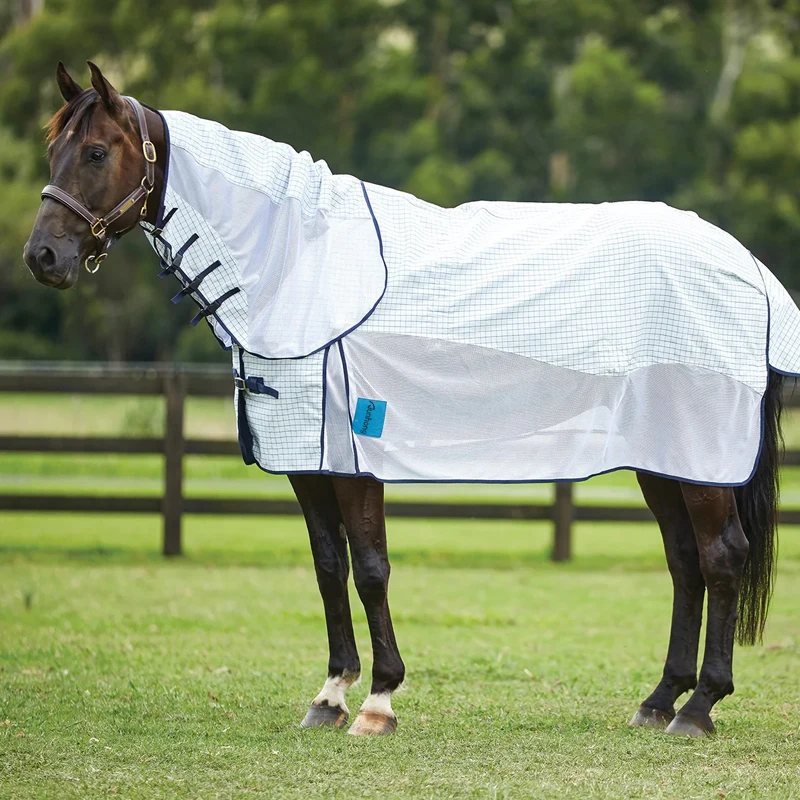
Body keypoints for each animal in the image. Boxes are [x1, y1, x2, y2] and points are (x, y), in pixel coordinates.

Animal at [23, 62, 792, 738]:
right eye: (52, 147)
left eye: (96, 151)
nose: (42, 259)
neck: (300, 263)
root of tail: (748, 267)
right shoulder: (308, 460)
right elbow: (328, 567)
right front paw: (330, 695)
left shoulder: (355, 460)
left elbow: (370, 570)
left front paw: (379, 701)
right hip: (665, 459)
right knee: (685, 562)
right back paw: (660, 701)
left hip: (701, 462)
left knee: (721, 556)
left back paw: (699, 710)